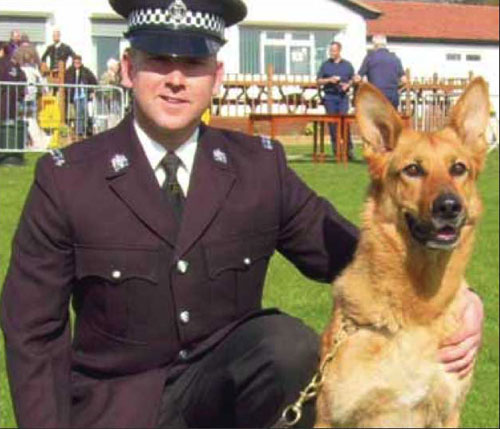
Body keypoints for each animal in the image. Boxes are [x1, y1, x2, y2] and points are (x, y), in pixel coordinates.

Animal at [314, 77, 490, 428]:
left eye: (458, 168)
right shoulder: (331, 418)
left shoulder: (448, 413)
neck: (418, 310)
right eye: (412, 170)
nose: (449, 207)